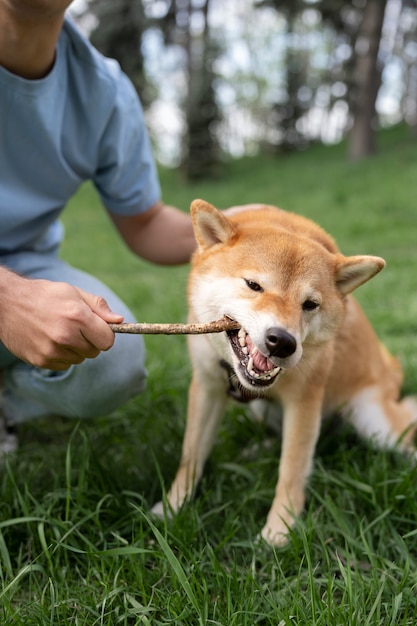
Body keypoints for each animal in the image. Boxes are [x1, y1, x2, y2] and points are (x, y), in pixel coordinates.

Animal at [152, 197, 416, 544]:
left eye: (310, 304)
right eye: (253, 285)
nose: (282, 342)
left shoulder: (304, 402)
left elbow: (290, 471)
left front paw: (277, 534)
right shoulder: (207, 386)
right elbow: (190, 455)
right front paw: (172, 507)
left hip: (375, 422)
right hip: (263, 410)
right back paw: (258, 449)